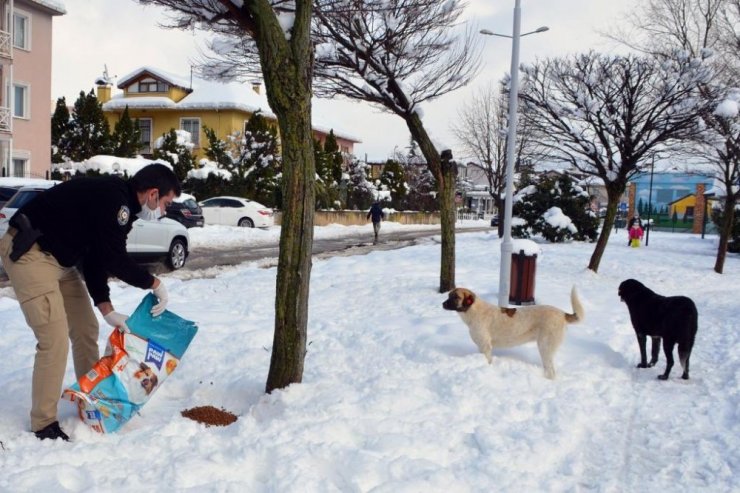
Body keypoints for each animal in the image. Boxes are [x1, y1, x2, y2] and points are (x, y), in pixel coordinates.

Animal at [446, 284, 584, 376]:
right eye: (448, 296)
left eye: (456, 297)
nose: (443, 304)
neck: (473, 311)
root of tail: (562, 313)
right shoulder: (481, 346)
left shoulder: (485, 346)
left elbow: (488, 360)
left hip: (545, 346)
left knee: (550, 371)